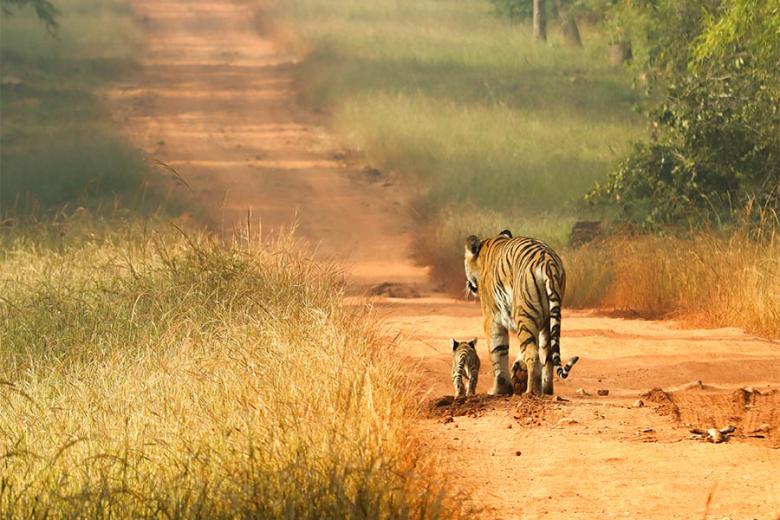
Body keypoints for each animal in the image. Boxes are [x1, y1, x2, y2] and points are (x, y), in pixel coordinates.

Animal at [464, 229, 578, 396]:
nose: (468, 285)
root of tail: (548, 263)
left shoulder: (491, 319)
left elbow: (497, 351)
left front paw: (498, 389)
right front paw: (518, 371)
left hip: (523, 315)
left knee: (533, 354)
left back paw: (531, 392)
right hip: (546, 321)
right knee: (547, 357)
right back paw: (546, 390)